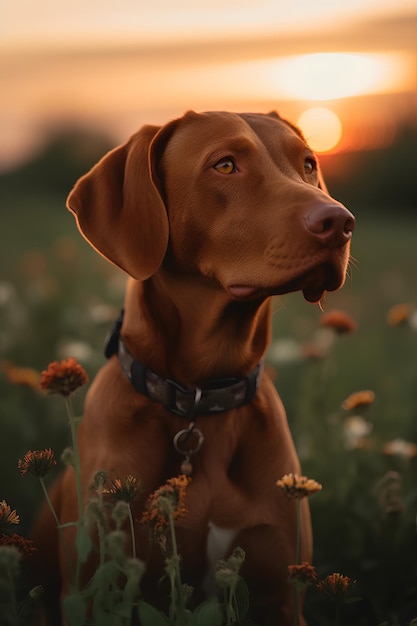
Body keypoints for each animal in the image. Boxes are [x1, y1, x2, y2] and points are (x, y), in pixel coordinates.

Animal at [36, 112, 354, 624]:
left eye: (308, 164)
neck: (202, 396)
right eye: (224, 165)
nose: (341, 222)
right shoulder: (92, 592)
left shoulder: (282, 596)